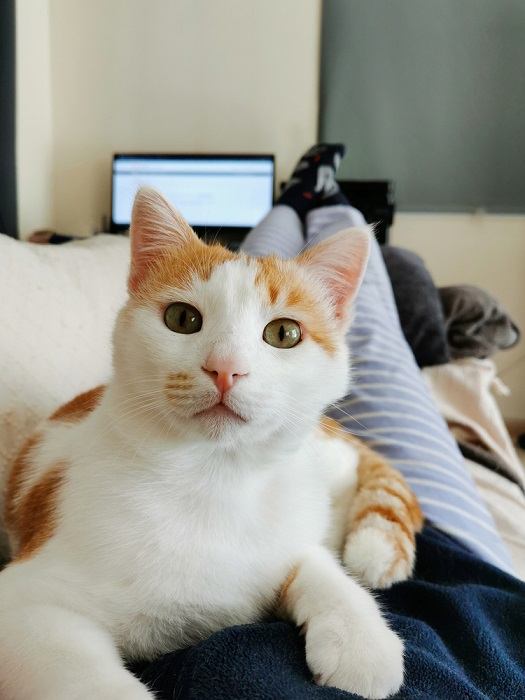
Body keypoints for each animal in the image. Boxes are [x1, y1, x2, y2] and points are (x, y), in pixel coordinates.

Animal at [0, 189, 420, 696]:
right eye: (182, 318)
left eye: (284, 333)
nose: (226, 368)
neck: (214, 477)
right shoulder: (27, 598)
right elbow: (85, 677)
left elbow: (313, 561)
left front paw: (360, 635)